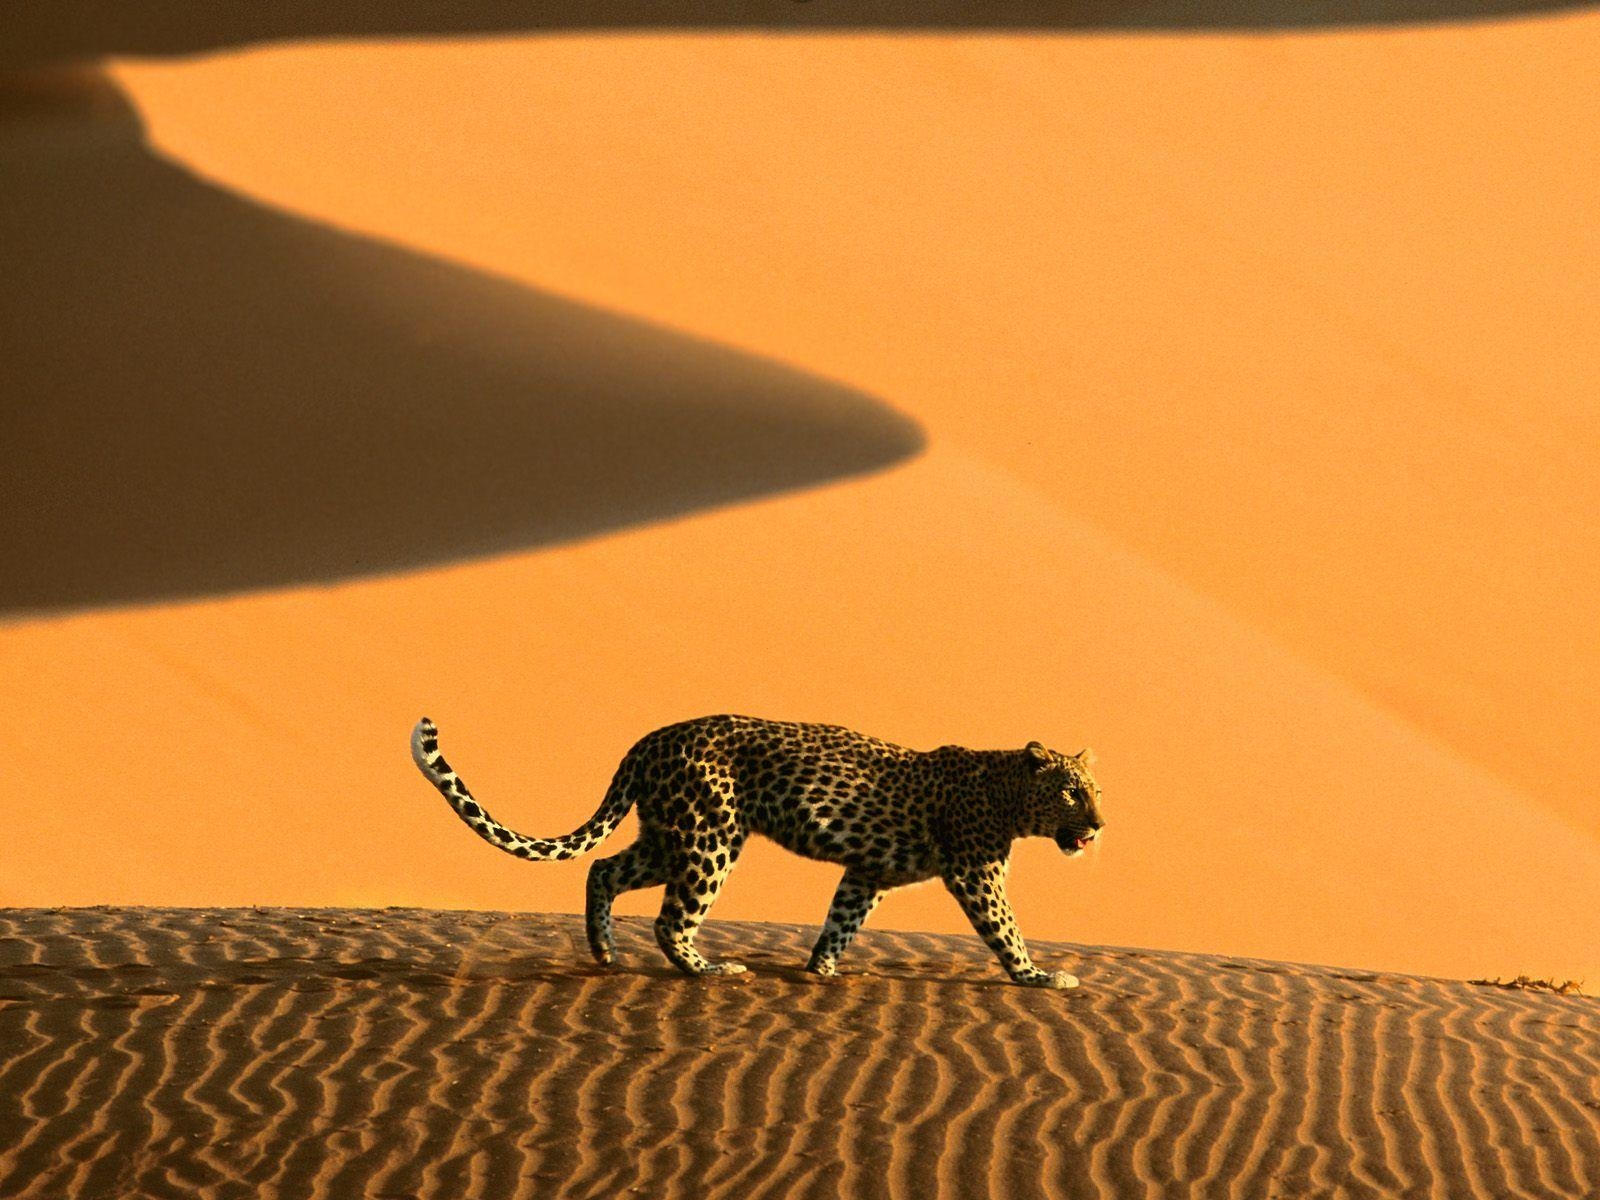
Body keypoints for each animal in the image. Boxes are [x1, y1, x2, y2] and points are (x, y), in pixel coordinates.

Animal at [409, 713, 1100, 985]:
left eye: (1095, 790)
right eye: (1071, 793)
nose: (1098, 826)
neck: (1009, 794)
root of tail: (648, 740)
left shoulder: (868, 871)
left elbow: (842, 920)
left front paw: (820, 970)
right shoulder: (976, 872)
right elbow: (1005, 929)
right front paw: (1039, 977)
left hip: (667, 837)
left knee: (603, 869)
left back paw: (604, 953)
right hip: (709, 838)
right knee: (670, 918)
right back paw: (708, 969)